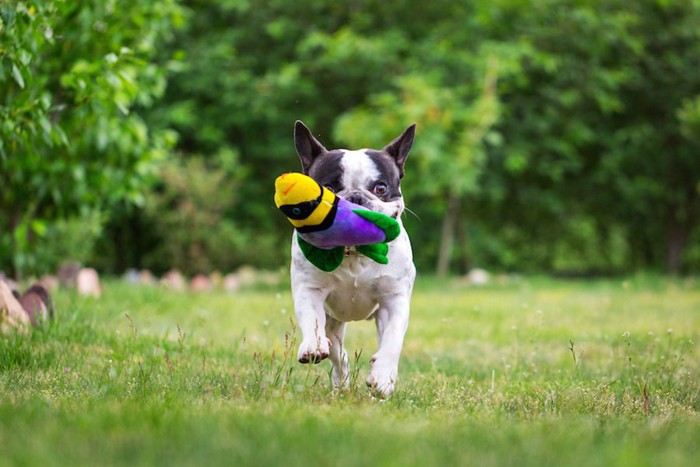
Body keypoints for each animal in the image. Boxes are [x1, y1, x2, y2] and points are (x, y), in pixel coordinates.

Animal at [288, 120, 416, 398]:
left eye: (381, 188)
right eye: (329, 188)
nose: (355, 197)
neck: (355, 251)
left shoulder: (394, 300)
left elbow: (392, 340)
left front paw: (382, 377)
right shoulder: (309, 290)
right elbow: (311, 319)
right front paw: (312, 345)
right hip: (334, 323)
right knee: (338, 354)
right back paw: (340, 384)